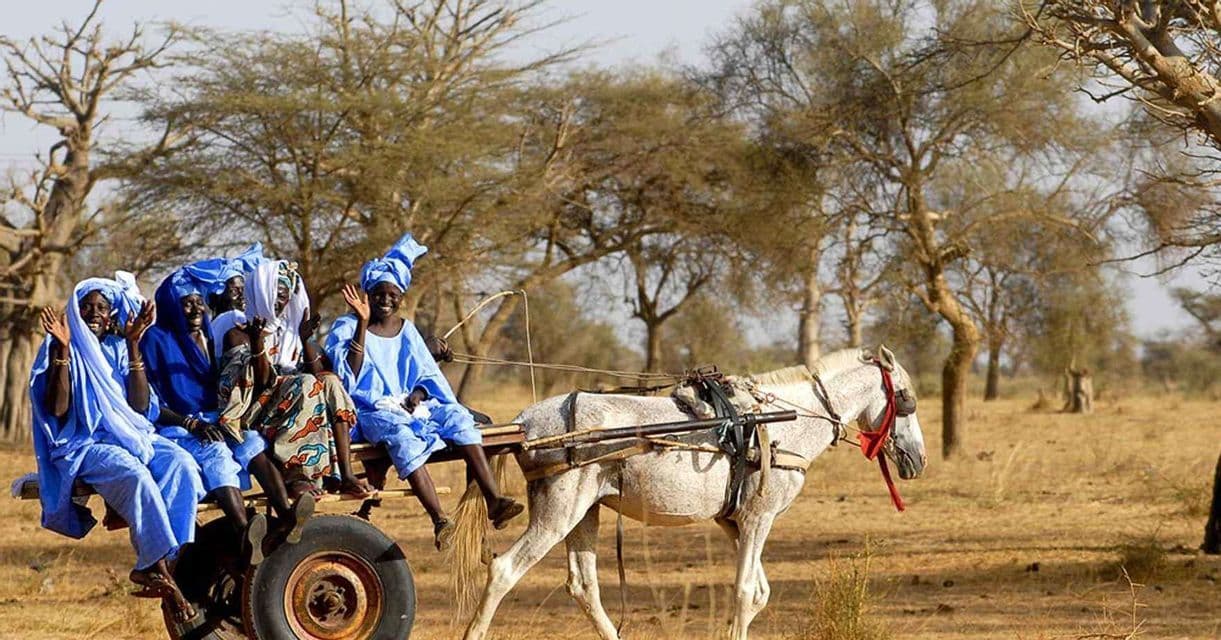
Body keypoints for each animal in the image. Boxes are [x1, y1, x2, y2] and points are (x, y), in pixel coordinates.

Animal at [458, 346, 928, 640]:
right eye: (906, 399)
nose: (918, 459)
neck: (782, 421)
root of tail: (527, 422)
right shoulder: (758, 518)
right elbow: (744, 591)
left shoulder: (733, 522)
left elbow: (759, 593)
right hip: (558, 513)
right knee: (503, 570)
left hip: (583, 513)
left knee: (583, 586)